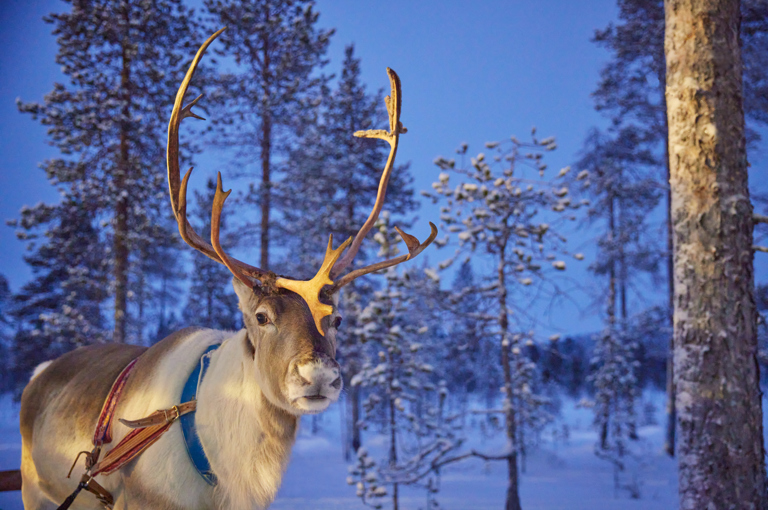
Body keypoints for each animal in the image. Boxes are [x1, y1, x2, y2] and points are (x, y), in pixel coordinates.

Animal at [18, 28, 436, 510]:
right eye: (262, 317)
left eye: (339, 320)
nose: (320, 375)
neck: (228, 477)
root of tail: (39, 373)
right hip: (34, 487)